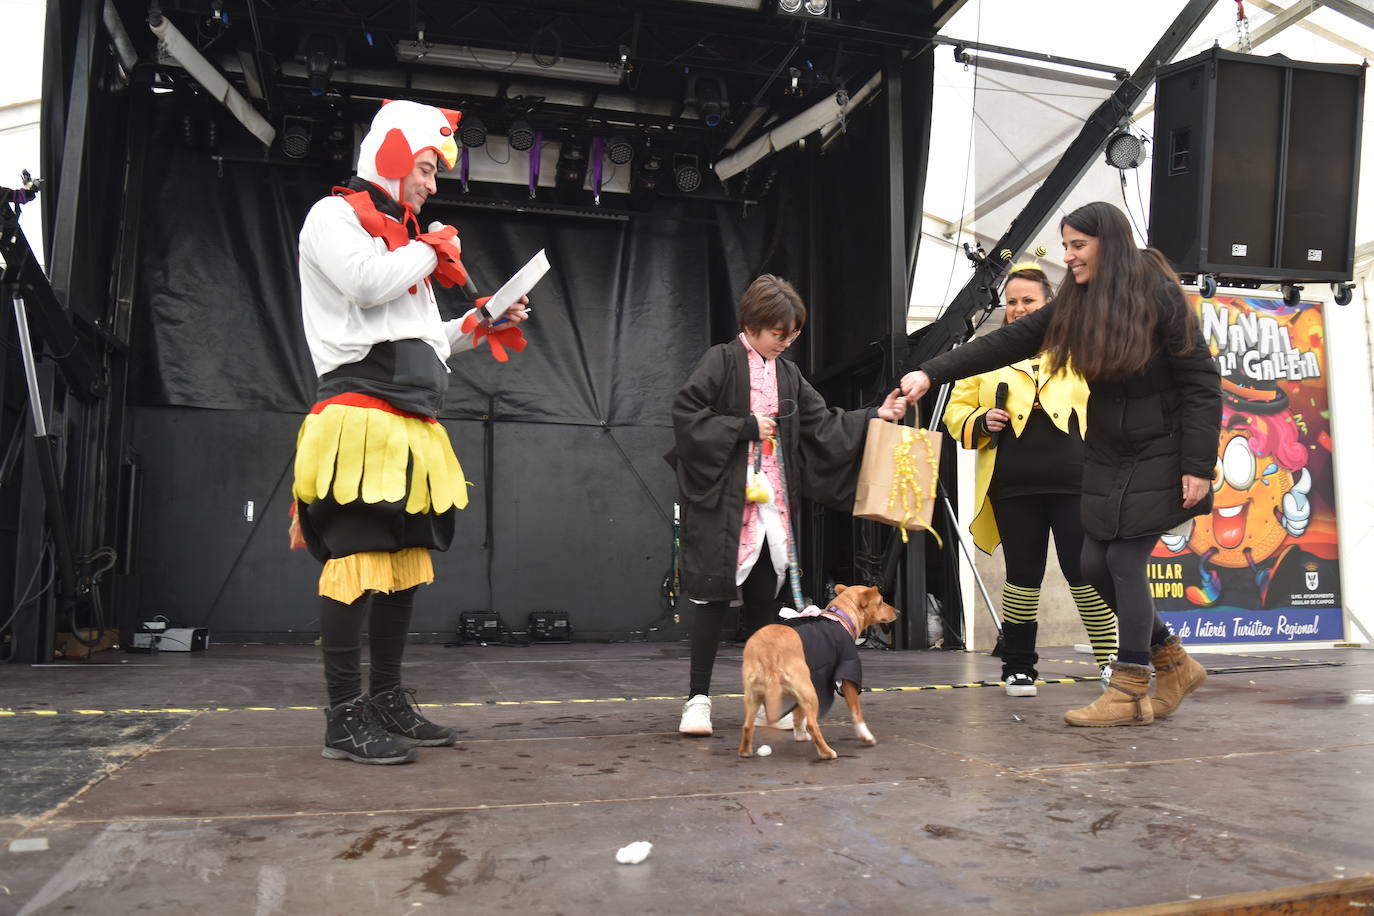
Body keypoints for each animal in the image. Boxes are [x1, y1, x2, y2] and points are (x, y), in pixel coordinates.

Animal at [741, 587, 901, 758]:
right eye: (881, 601)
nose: (898, 611)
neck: (840, 617)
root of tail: (768, 650)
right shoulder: (847, 678)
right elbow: (856, 712)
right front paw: (866, 735)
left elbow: (798, 714)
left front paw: (800, 735)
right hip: (809, 692)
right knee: (812, 725)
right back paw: (826, 752)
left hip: (755, 694)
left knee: (747, 725)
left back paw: (745, 751)